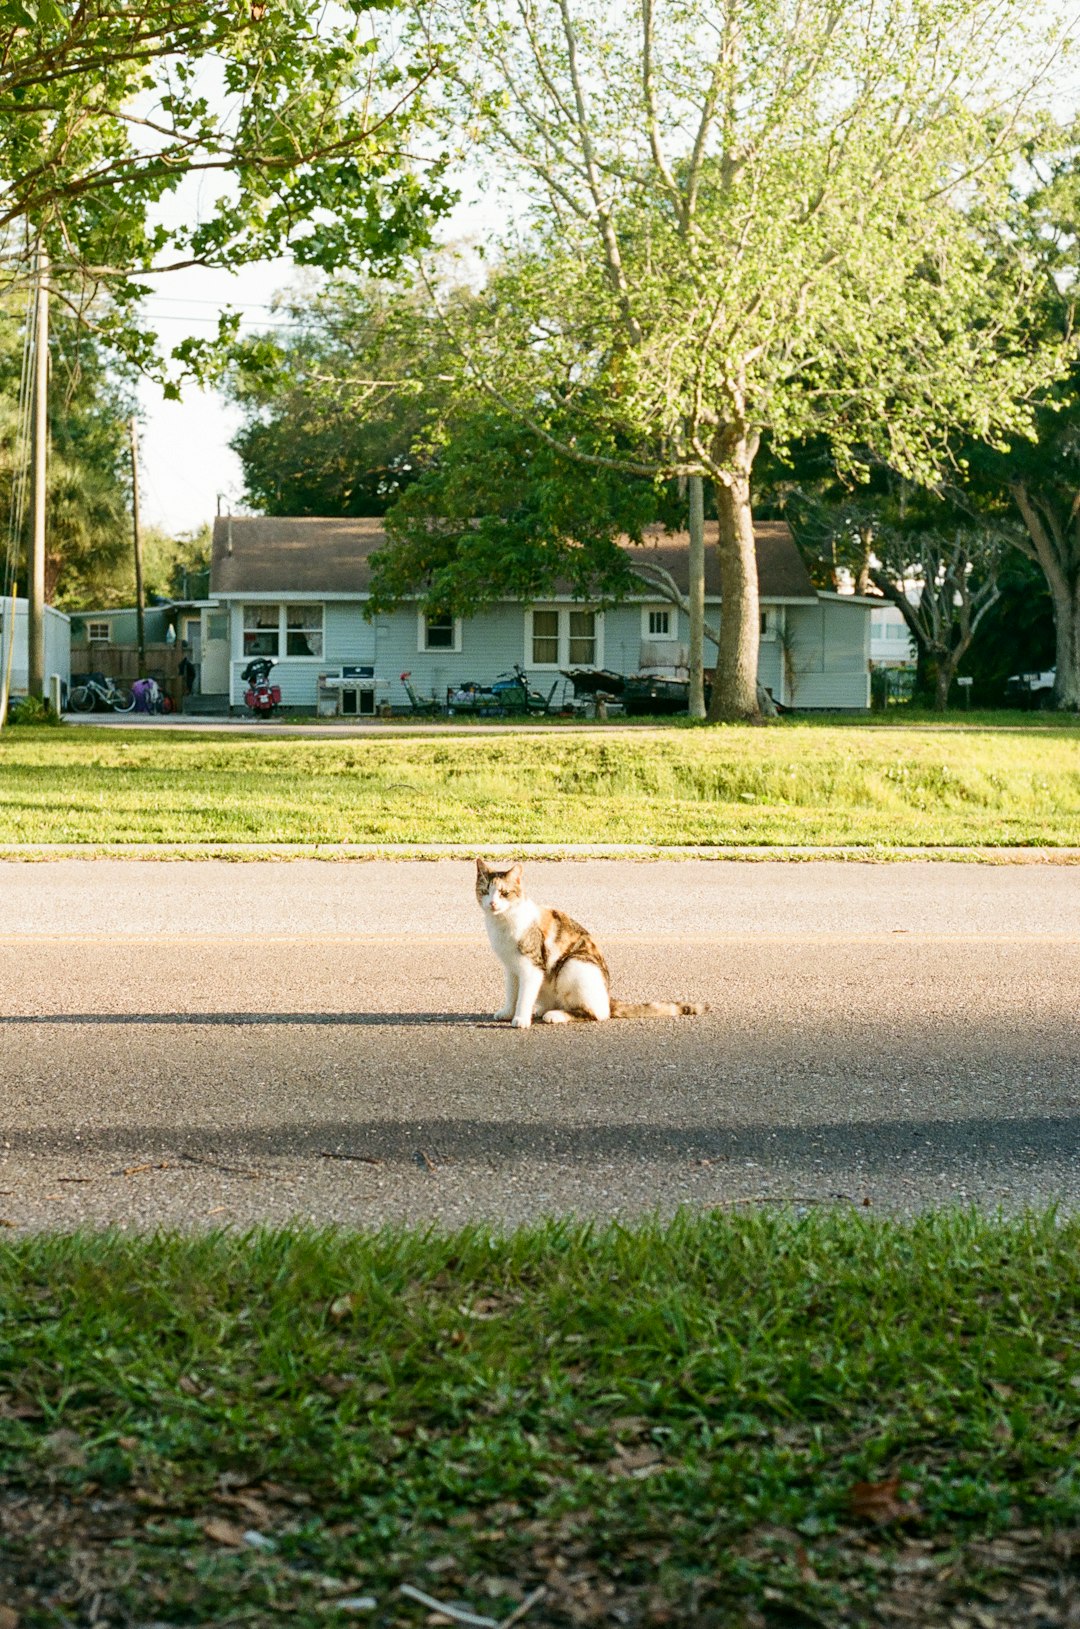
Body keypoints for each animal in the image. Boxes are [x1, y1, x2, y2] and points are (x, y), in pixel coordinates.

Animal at [478, 860, 706, 1023]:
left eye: (504, 893)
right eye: (485, 891)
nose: (492, 903)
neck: (502, 923)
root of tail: (607, 998)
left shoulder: (532, 967)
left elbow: (524, 995)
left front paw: (520, 1018)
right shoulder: (511, 967)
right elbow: (512, 993)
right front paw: (508, 1012)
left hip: (573, 965)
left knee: (595, 1013)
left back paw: (556, 1015)